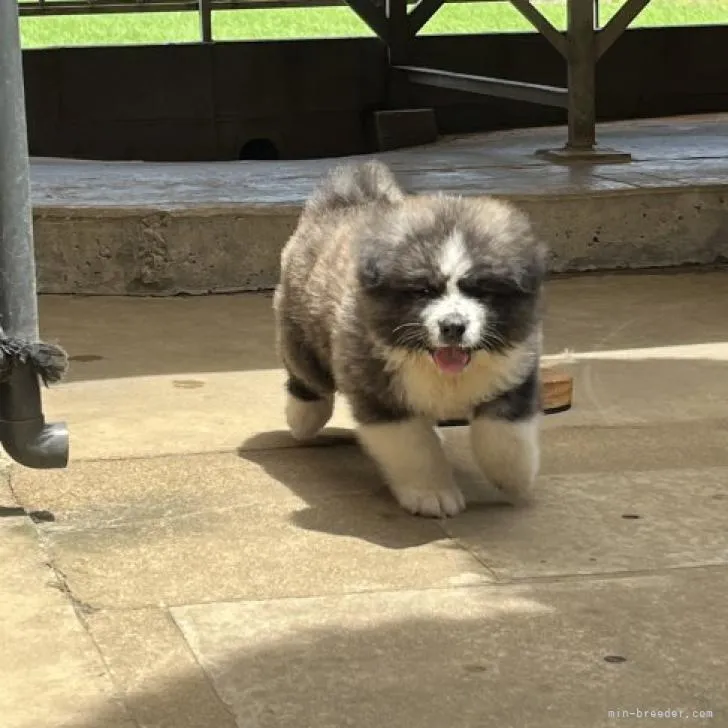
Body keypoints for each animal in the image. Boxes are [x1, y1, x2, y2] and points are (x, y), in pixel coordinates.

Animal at [272, 163, 544, 520]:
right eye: (424, 290)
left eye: (481, 291)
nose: (453, 326)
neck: (438, 366)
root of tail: (344, 202)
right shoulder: (382, 396)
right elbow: (415, 449)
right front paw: (432, 494)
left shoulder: (512, 373)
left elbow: (504, 436)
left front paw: (514, 479)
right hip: (301, 333)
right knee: (307, 378)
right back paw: (303, 418)